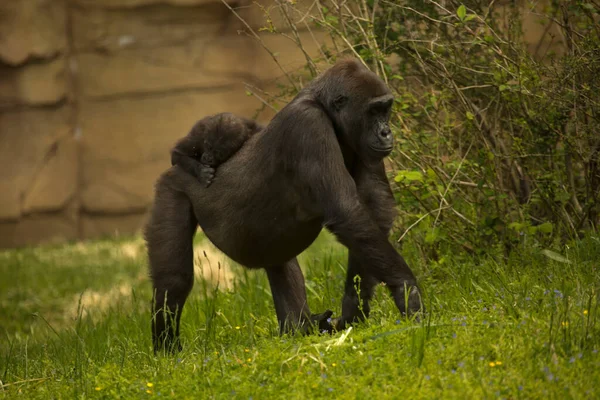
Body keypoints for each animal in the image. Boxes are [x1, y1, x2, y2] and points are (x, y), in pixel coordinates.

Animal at [145, 57, 422, 352]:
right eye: (373, 111)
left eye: (386, 109)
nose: (386, 132)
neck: (323, 106)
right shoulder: (308, 125)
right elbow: (348, 212)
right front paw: (406, 288)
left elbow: (375, 206)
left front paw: (354, 306)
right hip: (172, 187)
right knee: (174, 280)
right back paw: (167, 348)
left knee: (279, 258)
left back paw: (299, 327)